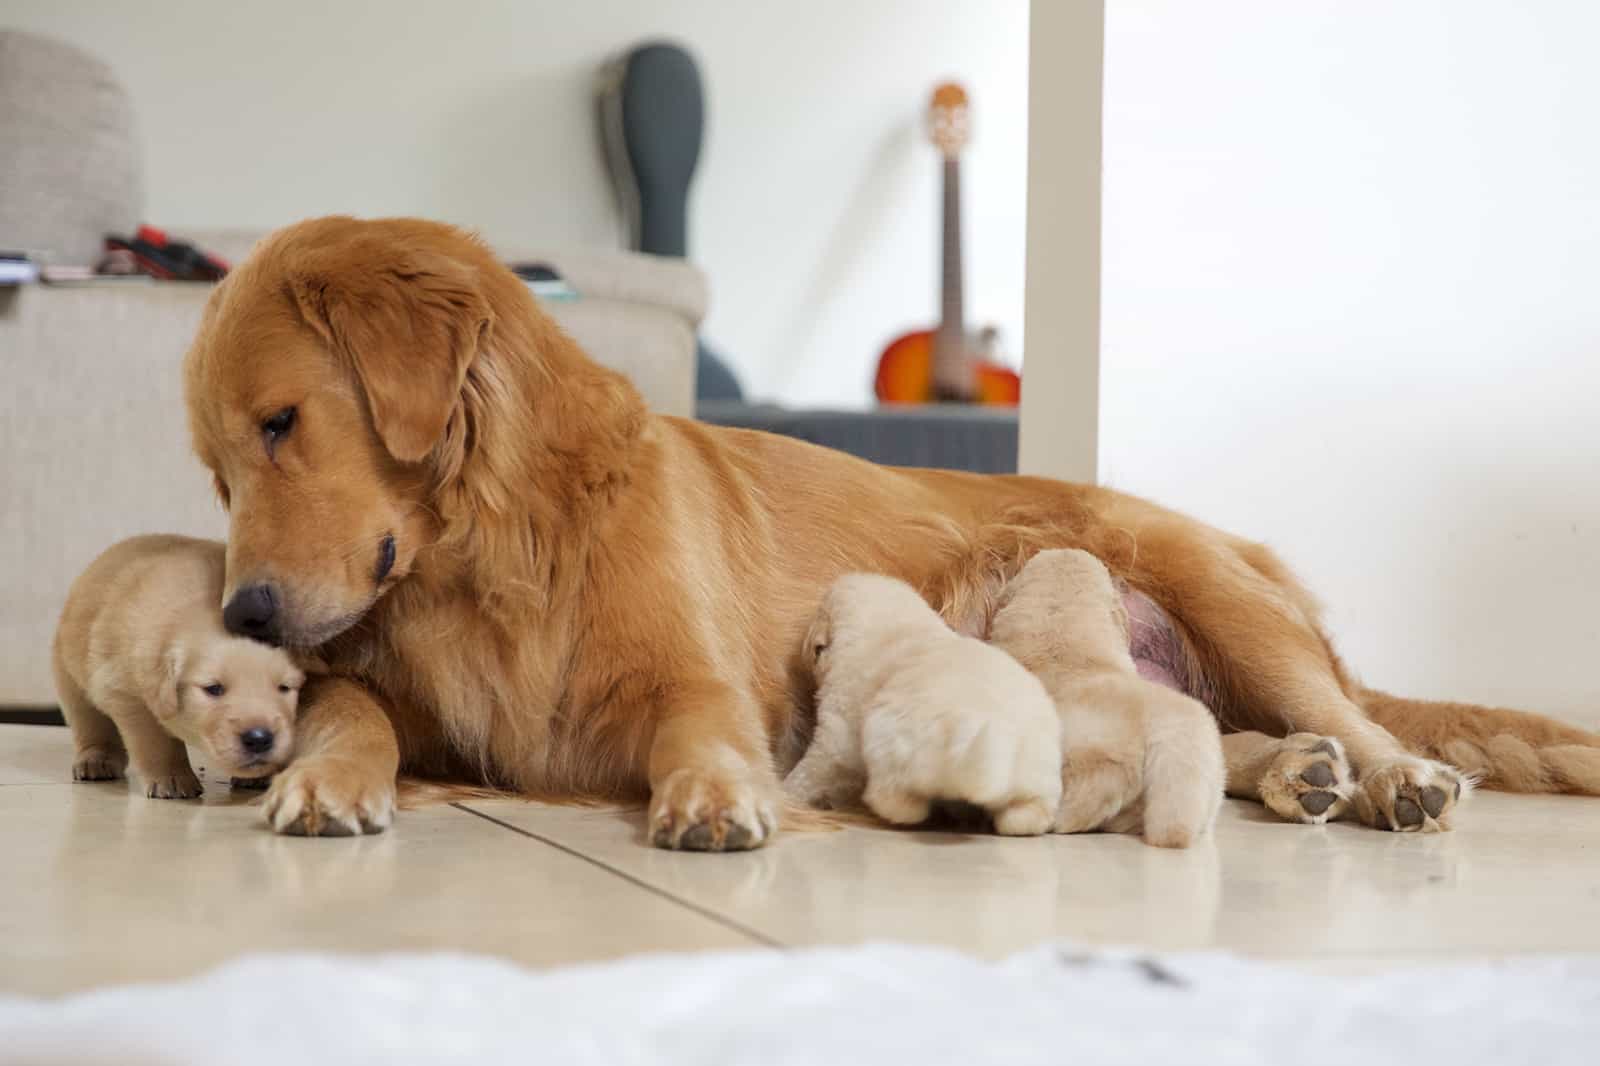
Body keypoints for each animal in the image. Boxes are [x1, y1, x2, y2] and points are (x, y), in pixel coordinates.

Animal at [51, 534, 304, 793]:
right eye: (214, 689)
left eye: (284, 688)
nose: (259, 738)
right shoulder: (125, 692)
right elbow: (155, 739)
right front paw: (172, 777)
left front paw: (262, 776)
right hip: (69, 678)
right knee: (89, 722)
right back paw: (96, 759)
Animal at [784, 569, 1062, 832]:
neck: (894, 622)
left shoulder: (837, 734)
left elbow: (812, 770)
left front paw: (788, 790)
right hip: (1040, 776)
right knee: (1028, 813)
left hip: (891, 746)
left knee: (899, 799)